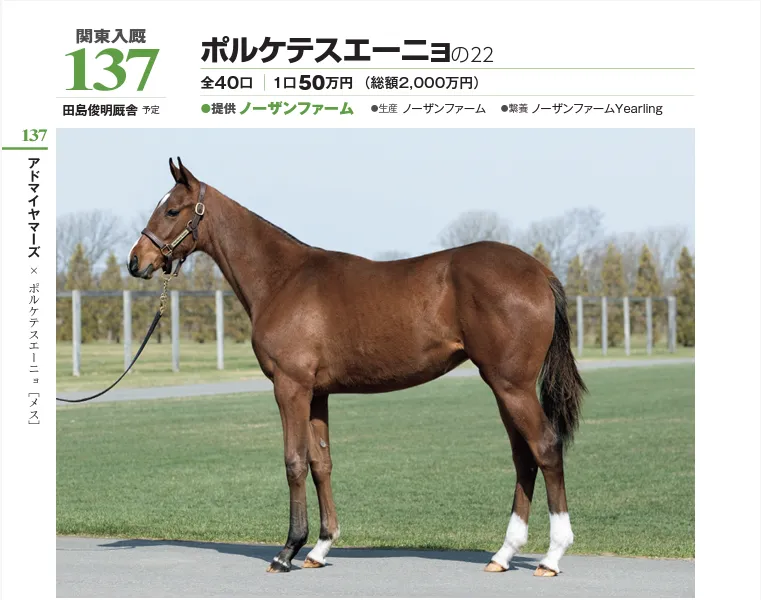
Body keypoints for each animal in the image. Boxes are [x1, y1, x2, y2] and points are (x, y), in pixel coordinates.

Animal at [128, 158, 586, 576]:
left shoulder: (290, 387)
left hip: (512, 385)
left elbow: (294, 461)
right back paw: (503, 555)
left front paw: (287, 550)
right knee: (524, 456)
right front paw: (319, 547)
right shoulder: (317, 393)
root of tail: (539, 272)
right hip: (504, 388)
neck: (283, 278)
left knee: (546, 447)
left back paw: (552, 556)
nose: (136, 261)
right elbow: (321, 463)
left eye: (172, 210)